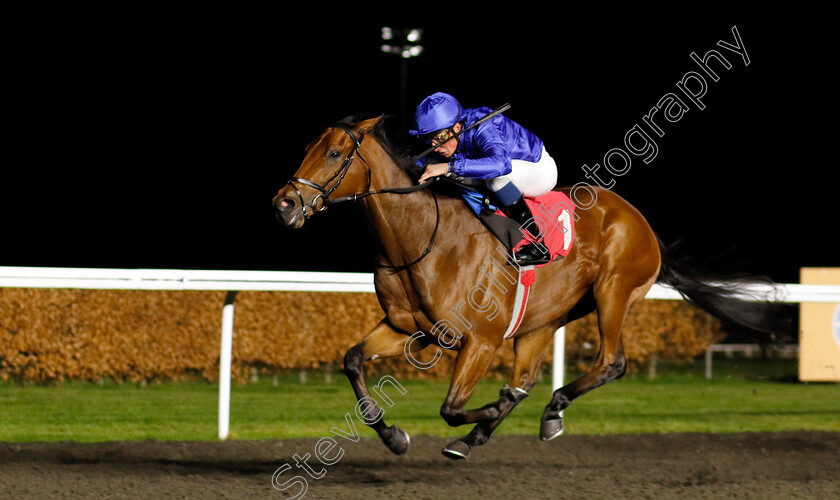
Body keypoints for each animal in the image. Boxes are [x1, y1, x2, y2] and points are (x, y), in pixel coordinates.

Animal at [270, 115, 788, 458]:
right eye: (307, 148)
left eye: (335, 153)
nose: (284, 204)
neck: (422, 239)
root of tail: (640, 221)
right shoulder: (407, 329)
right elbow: (353, 359)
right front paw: (395, 436)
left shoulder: (478, 340)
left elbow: (453, 407)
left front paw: (482, 412)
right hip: (546, 317)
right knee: (526, 378)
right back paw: (497, 428)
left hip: (613, 293)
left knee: (610, 362)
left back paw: (550, 410)